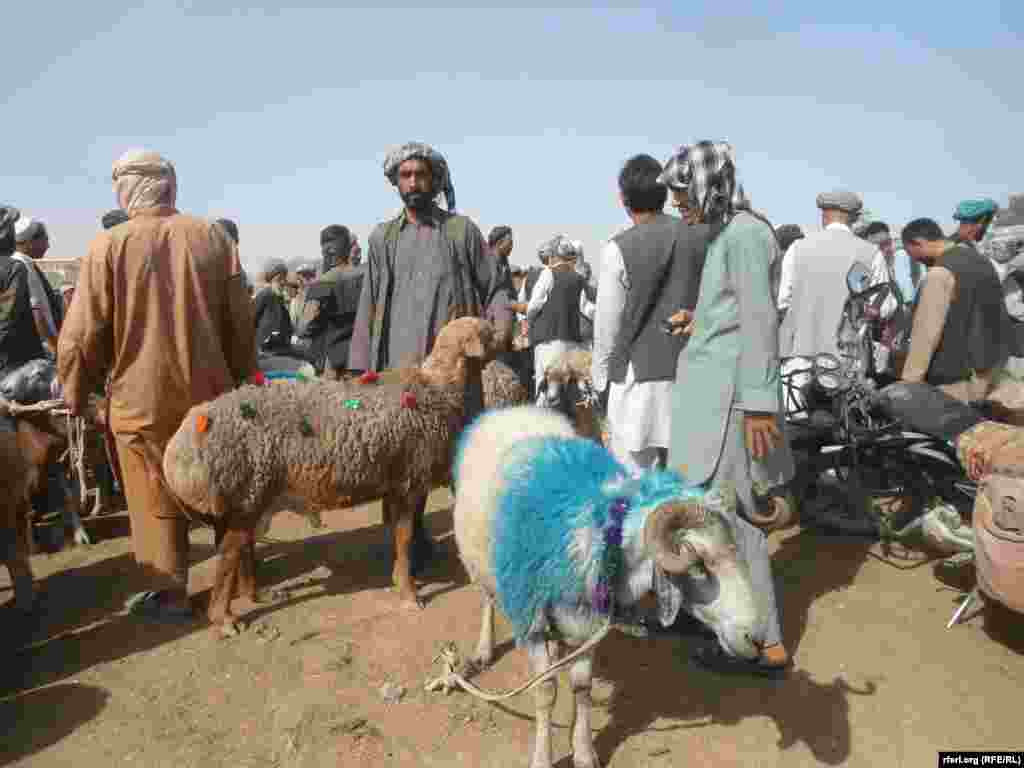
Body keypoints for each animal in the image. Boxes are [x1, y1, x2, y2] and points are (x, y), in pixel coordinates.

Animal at [454, 405, 761, 765]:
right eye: (698, 565)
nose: (756, 638)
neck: (601, 537)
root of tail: (510, 409)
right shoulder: (532, 622)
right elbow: (545, 691)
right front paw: (542, 758)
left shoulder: (587, 622)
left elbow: (582, 687)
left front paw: (584, 752)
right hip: (480, 563)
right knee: (487, 599)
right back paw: (483, 649)